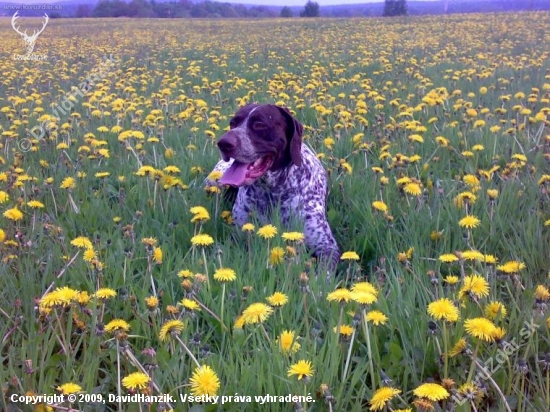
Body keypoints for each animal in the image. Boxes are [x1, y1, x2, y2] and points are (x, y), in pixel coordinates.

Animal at [209, 104, 342, 274]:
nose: (223, 143)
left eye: (259, 125)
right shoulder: (238, 235)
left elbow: (324, 274)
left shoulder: (326, 246)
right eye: (233, 123)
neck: (271, 192)